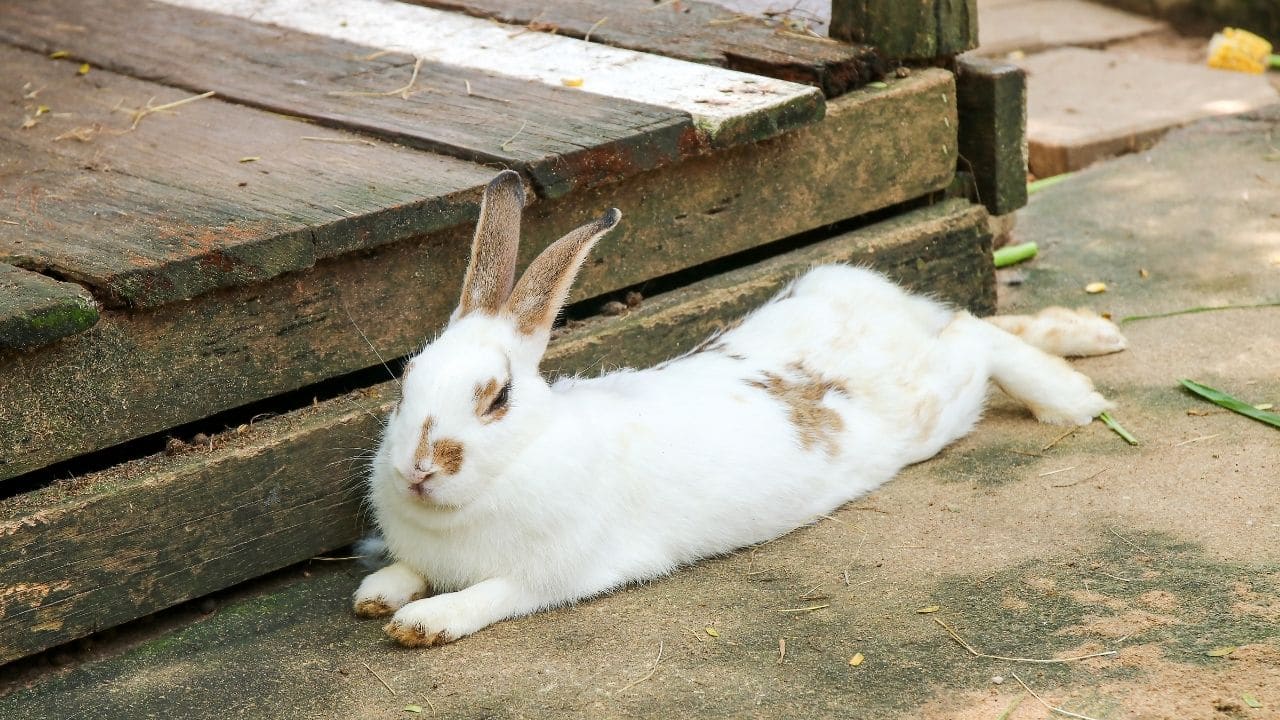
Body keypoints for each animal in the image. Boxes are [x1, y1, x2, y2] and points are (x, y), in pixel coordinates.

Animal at [353, 170, 1127, 647]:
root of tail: (870, 298)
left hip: (939, 402)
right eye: (408, 382)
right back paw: (1090, 337)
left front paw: (422, 622)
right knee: (971, 319)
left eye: (499, 398)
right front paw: (376, 593)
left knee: (975, 333)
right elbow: (404, 571)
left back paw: (1072, 398)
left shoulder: (554, 574)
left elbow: (486, 597)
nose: (417, 469)